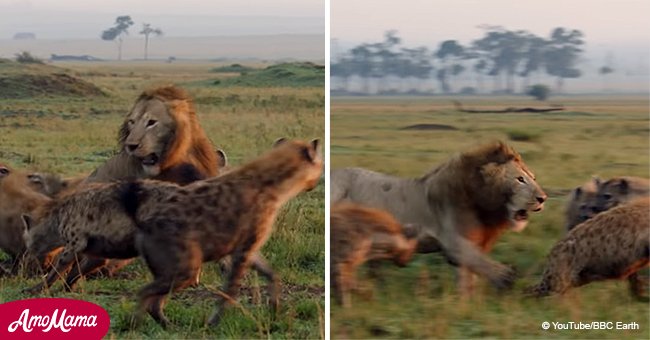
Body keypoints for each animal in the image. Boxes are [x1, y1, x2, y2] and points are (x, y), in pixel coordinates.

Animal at [330, 141, 548, 292]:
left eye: (533, 178)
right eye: (520, 179)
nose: (543, 198)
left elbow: (468, 276)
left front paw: (468, 303)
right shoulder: (453, 242)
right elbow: (479, 262)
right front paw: (507, 278)